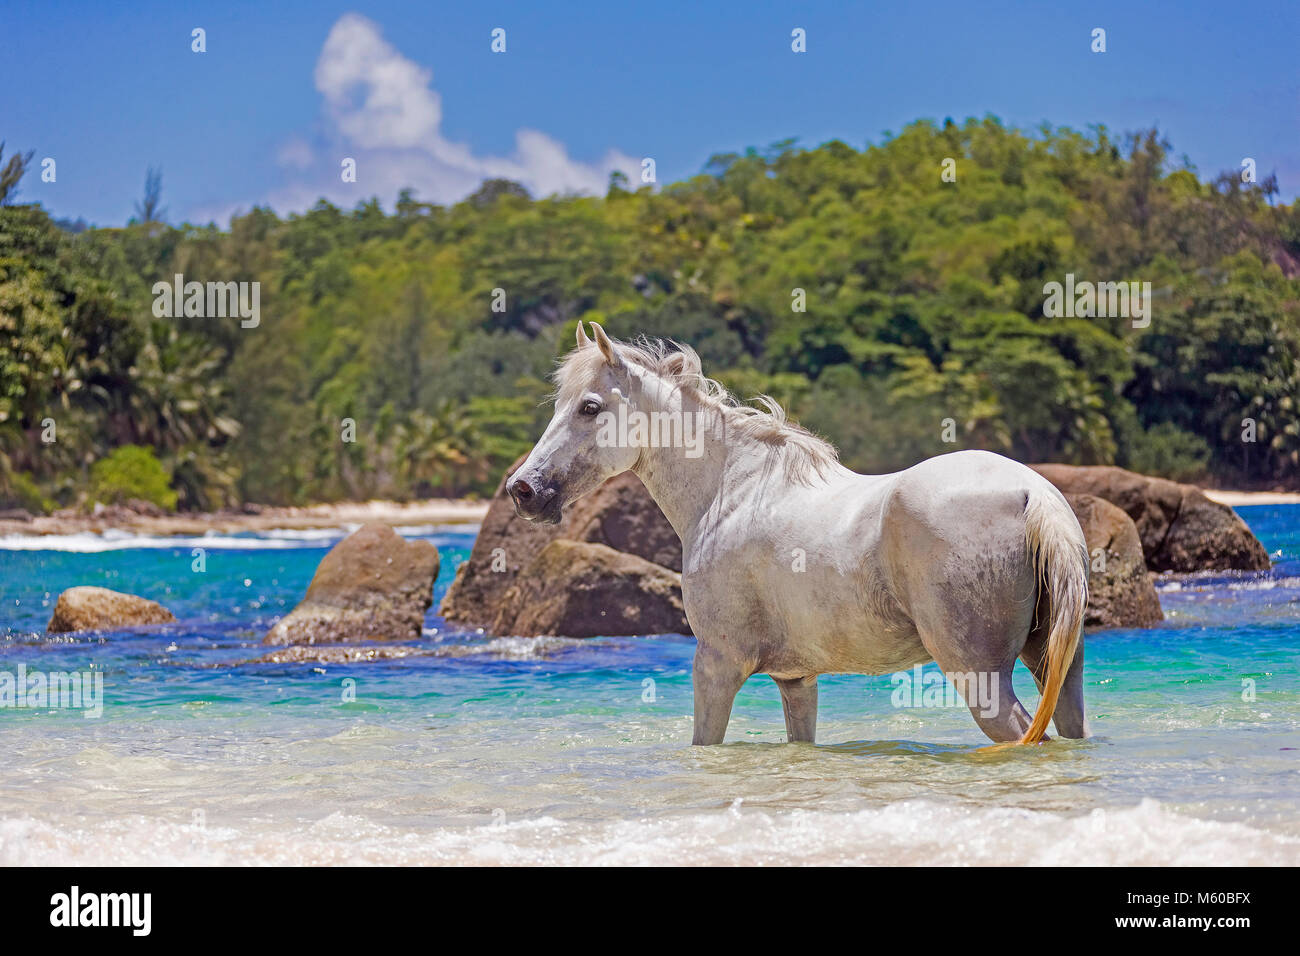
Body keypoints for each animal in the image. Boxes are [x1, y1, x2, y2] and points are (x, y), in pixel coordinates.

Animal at [506, 323, 1086, 749]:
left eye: (590, 407)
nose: (522, 489)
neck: (733, 488)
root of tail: (1034, 493)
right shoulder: (796, 680)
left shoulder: (716, 664)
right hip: (1057, 667)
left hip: (980, 675)